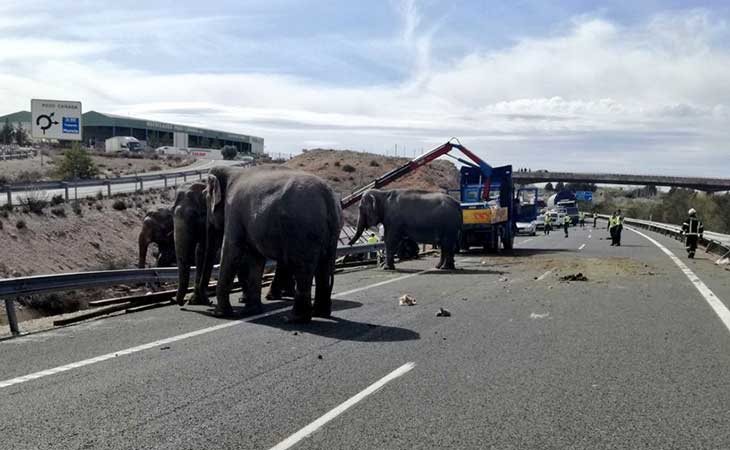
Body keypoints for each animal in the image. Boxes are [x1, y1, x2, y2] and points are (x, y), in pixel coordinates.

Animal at [203, 165, 342, 324]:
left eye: (205, 199)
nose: (208, 304)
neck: (231, 170)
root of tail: (327, 196)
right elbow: (255, 258)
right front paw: (250, 311)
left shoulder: (233, 212)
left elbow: (232, 250)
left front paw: (220, 314)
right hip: (331, 232)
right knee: (324, 268)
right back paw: (321, 314)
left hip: (303, 230)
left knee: (303, 268)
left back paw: (294, 319)